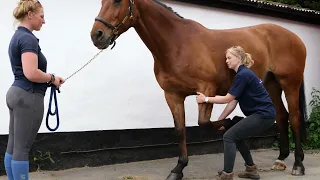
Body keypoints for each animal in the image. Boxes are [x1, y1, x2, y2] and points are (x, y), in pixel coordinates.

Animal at [89, 0, 308, 179]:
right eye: (101, 1)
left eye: (117, 1)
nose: (97, 35)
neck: (176, 43)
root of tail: (295, 37)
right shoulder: (173, 95)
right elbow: (180, 130)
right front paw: (178, 169)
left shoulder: (207, 89)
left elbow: (203, 122)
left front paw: (231, 121)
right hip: (271, 83)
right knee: (281, 115)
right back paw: (281, 159)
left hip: (290, 82)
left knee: (295, 117)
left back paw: (298, 164)